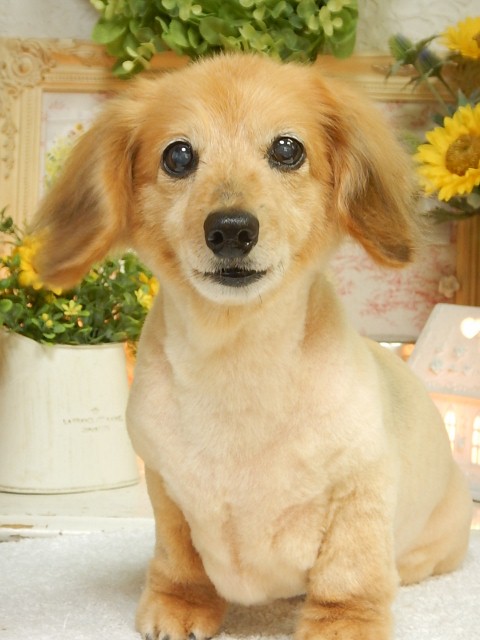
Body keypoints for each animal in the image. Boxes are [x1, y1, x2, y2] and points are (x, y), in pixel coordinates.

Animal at [32, 53, 472, 640]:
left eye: (287, 149)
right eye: (178, 155)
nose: (231, 229)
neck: (237, 362)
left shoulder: (361, 487)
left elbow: (348, 571)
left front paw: (342, 624)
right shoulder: (167, 490)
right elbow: (180, 559)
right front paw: (180, 605)